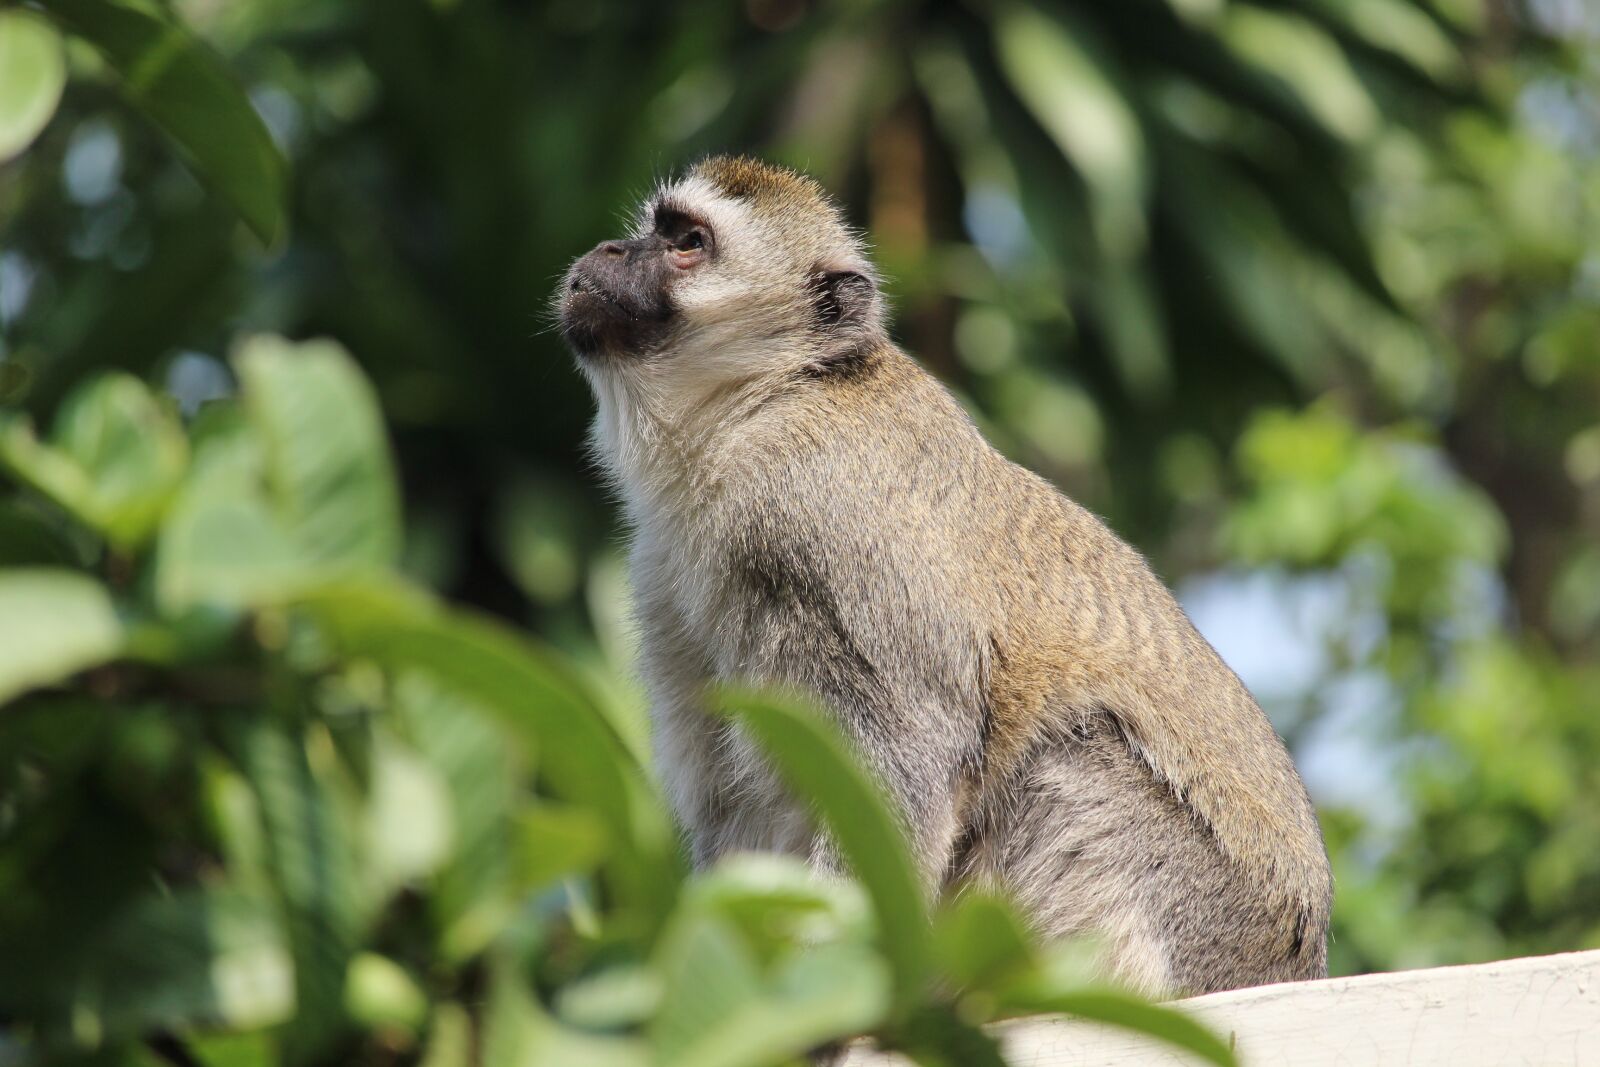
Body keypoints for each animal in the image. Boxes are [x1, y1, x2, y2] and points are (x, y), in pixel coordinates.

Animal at [556, 154, 1331, 998]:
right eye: (650, 229)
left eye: (688, 242)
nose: (608, 250)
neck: (765, 399)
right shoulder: (665, 573)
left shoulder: (812, 513)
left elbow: (908, 758)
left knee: (1069, 759)